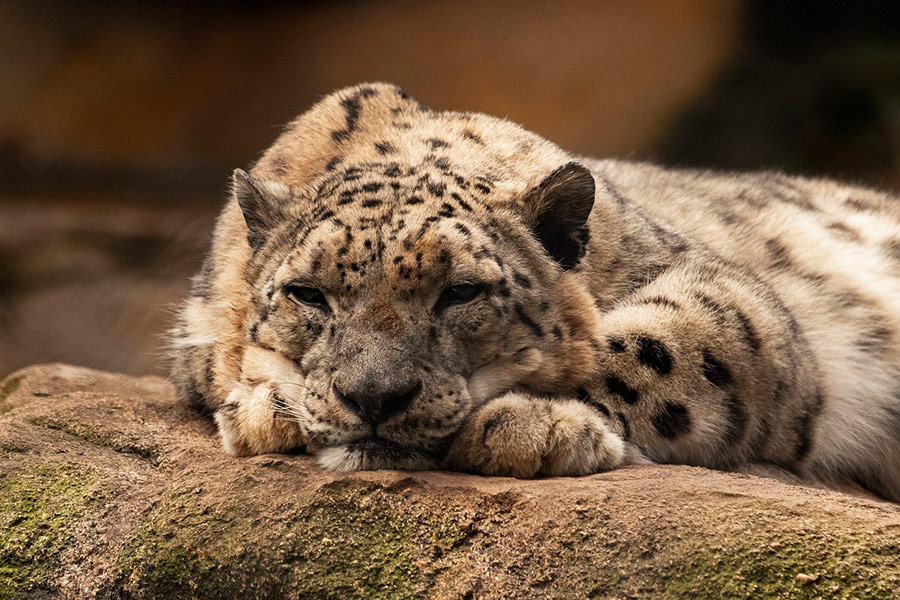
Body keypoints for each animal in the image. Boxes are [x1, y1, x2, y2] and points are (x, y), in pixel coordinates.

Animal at [170, 82, 900, 502]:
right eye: (307, 294)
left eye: (461, 292)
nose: (374, 397)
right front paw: (265, 408)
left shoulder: (730, 296)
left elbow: (652, 351)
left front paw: (532, 423)